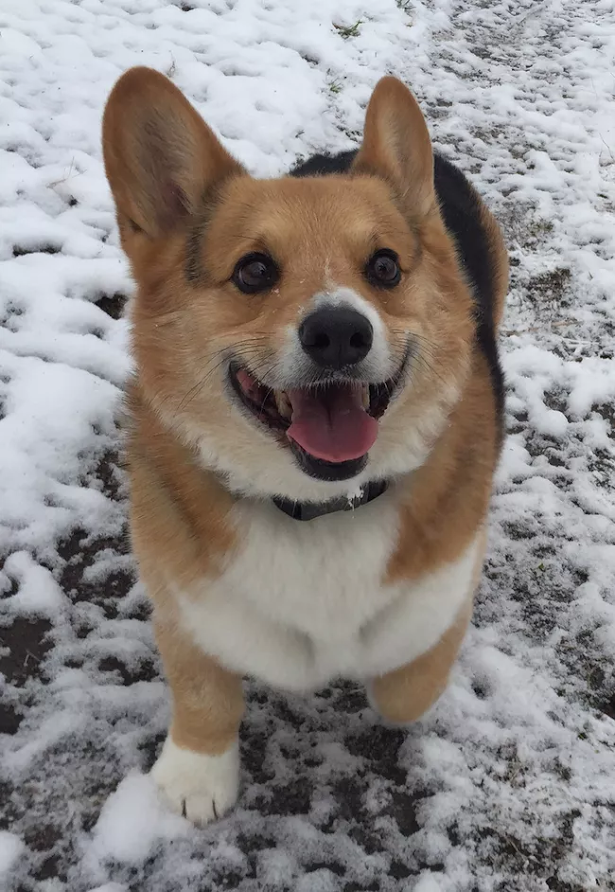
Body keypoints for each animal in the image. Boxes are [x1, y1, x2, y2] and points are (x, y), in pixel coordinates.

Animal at [102, 67, 507, 824]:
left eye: (385, 267)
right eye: (254, 271)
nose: (340, 333)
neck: (320, 507)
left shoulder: (445, 593)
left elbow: (406, 685)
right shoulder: (179, 600)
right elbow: (203, 689)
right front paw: (195, 777)